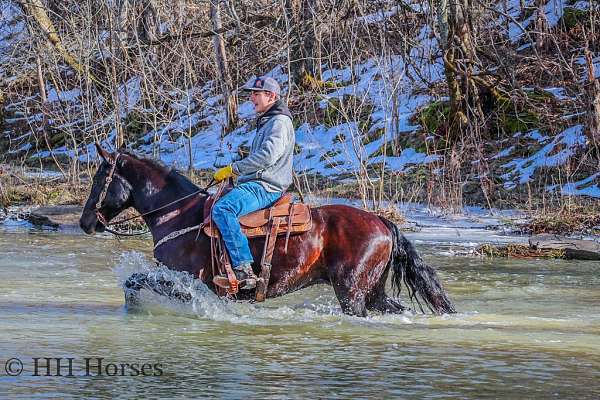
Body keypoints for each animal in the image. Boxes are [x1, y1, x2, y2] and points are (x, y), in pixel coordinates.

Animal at [79, 145, 454, 318]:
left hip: (352, 294)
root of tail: (382, 222)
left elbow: (137, 282)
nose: (85, 222)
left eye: (99, 179)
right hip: (372, 292)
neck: (179, 215)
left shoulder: (185, 278)